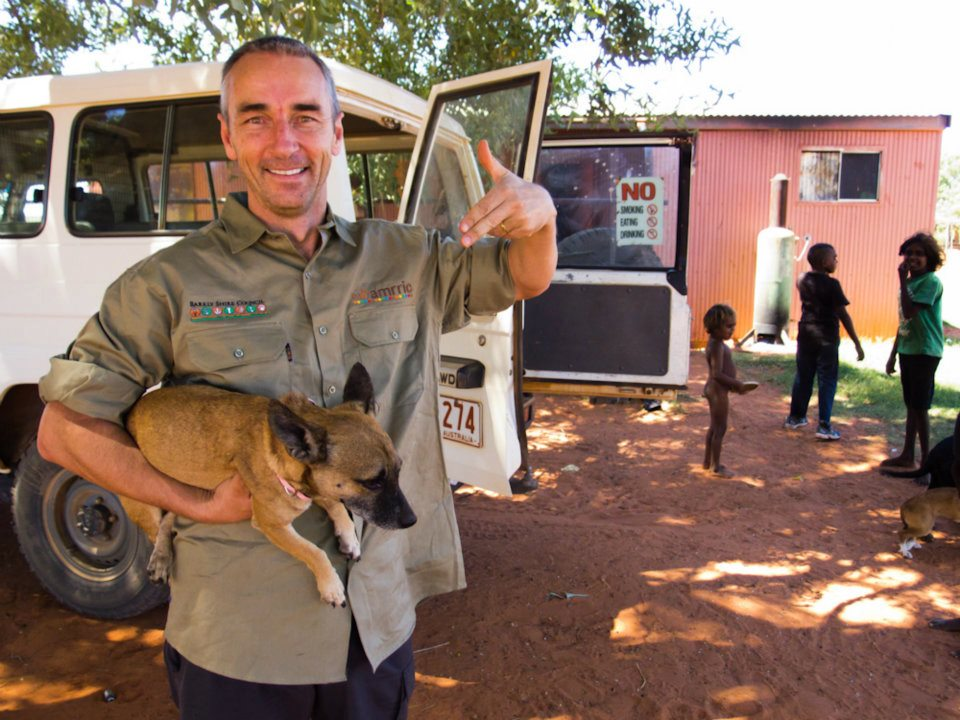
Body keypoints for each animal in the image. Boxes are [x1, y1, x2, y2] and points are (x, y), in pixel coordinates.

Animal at [124, 362, 416, 604]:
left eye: (399, 470)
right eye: (373, 482)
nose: (412, 521)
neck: (280, 446)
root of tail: (133, 410)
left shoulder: (314, 488)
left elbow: (334, 503)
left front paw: (348, 536)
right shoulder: (272, 525)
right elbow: (312, 551)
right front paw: (331, 584)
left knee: (170, 517)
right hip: (144, 503)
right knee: (158, 525)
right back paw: (160, 557)